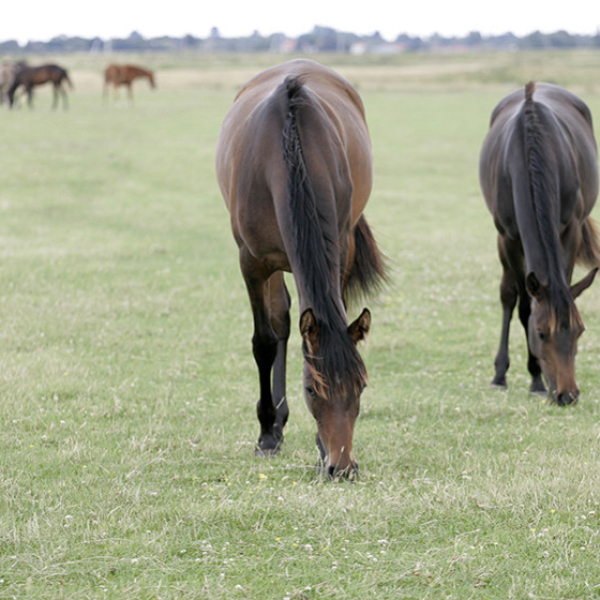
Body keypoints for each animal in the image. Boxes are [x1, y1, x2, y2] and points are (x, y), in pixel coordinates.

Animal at [216, 59, 384, 478]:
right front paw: (266, 433)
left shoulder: (339, 248)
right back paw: (275, 424)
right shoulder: (252, 262)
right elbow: (263, 341)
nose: (343, 467)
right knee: (280, 320)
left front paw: (319, 448)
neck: (288, 154)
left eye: (361, 386)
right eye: (311, 389)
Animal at [478, 82, 600, 406]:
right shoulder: (508, 237)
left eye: (580, 331)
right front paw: (535, 379)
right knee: (508, 296)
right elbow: (523, 307)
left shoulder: (570, 229)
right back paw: (500, 374)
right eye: (542, 333)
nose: (568, 394)